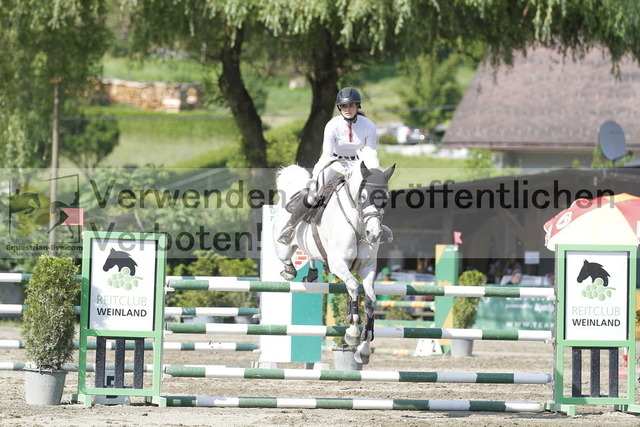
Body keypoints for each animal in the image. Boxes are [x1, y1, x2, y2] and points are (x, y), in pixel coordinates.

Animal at [273, 161, 395, 364]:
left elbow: (371, 301)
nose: (374, 234)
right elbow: (353, 286)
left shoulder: (368, 268)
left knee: (311, 256)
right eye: (363, 196)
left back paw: (312, 275)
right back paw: (289, 268)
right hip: (284, 246)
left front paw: (363, 350)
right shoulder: (339, 263)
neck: (358, 226)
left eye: (385, 198)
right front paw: (353, 333)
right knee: (285, 254)